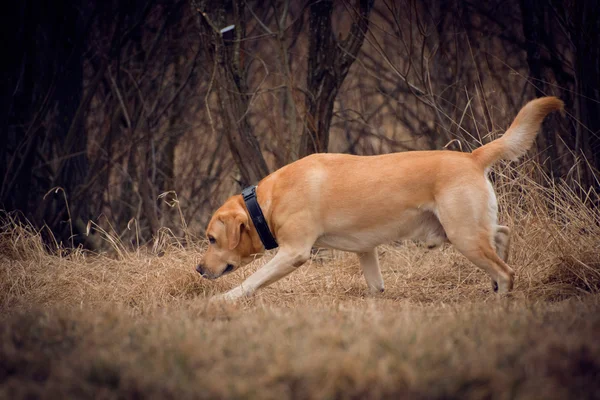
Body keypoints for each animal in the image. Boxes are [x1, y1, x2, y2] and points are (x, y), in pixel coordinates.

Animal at [197, 97, 564, 298]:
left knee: (506, 272)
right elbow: (376, 286)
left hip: (464, 235)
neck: (265, 203)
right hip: (468, 230)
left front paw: (222, 300)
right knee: (502, 235)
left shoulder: (293, 252)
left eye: (212, 239)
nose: (199, 269)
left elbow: (252, 280)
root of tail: (473, 157)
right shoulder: (366, 250)